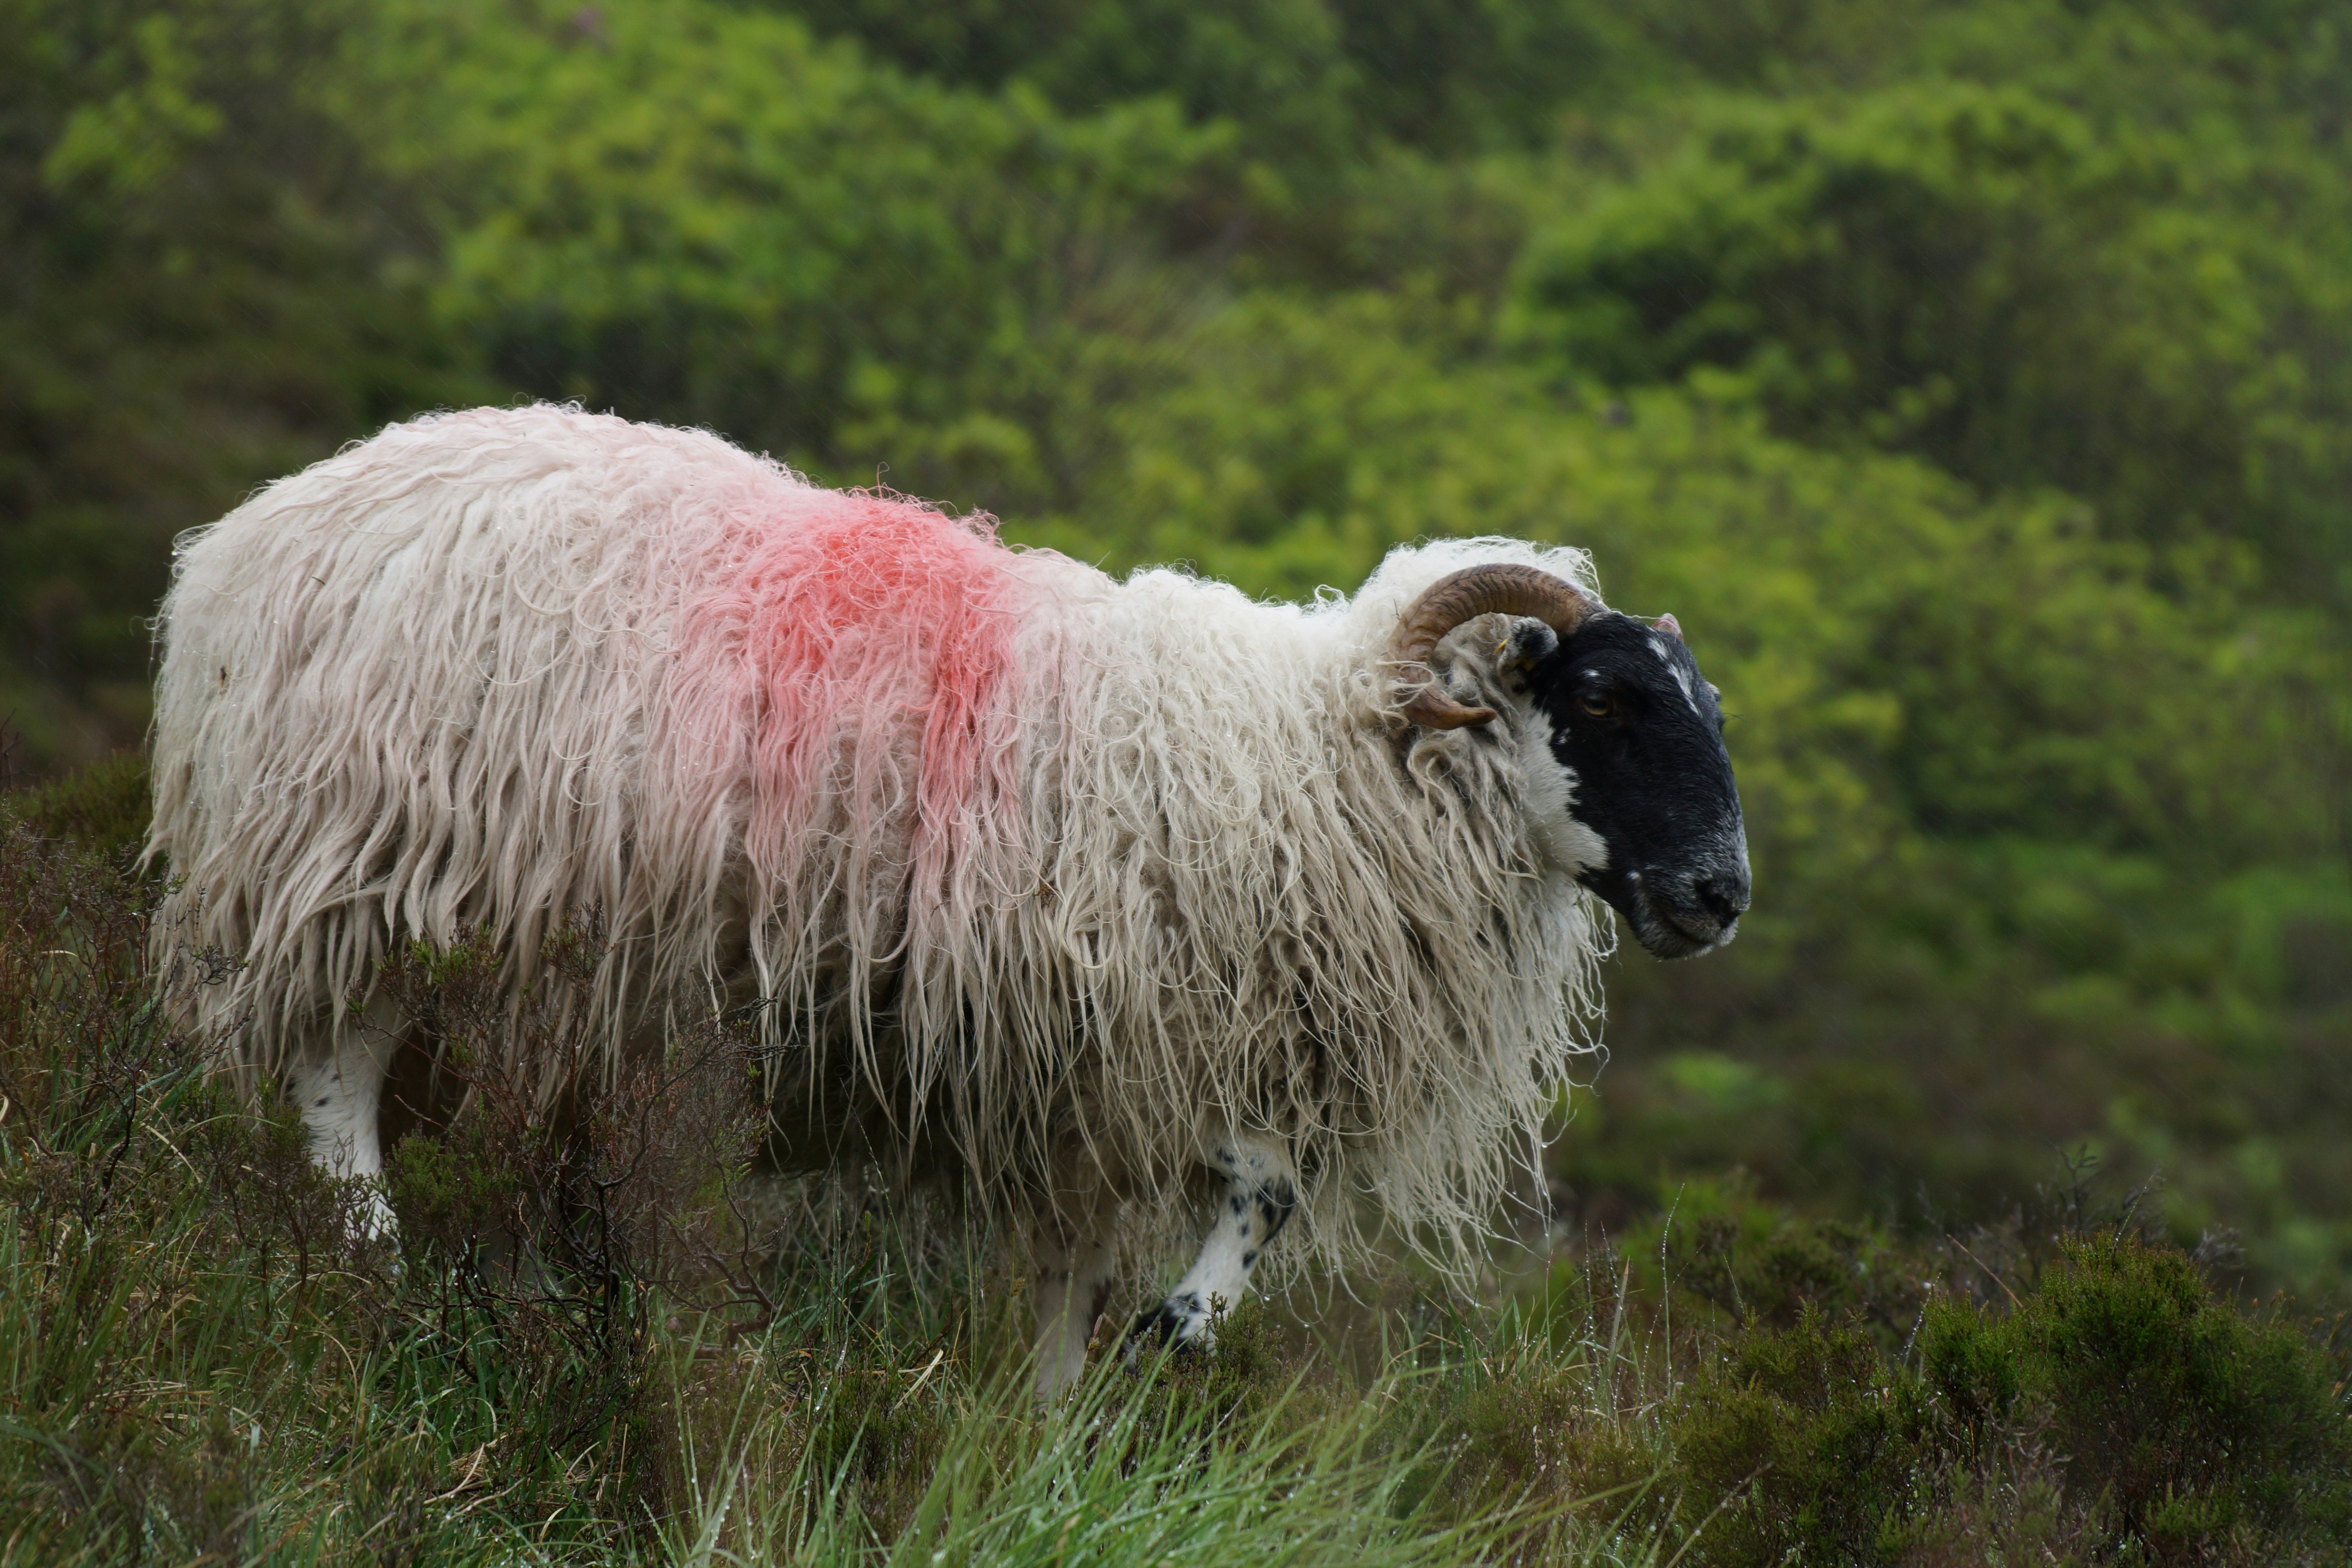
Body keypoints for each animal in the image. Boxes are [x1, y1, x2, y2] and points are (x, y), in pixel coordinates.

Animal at [148, 404, 1749, 1395]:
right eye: (1601, 697)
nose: (1718, 892)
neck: (1294, 764)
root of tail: (252, 537)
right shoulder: (1106, 1022)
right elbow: (1258, 1184)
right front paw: (1178, 1323)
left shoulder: (1083, 1084)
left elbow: (1093, 1268)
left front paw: (1061, 1417)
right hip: (373, 861)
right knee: (332, 1072)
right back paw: (371, 1251)